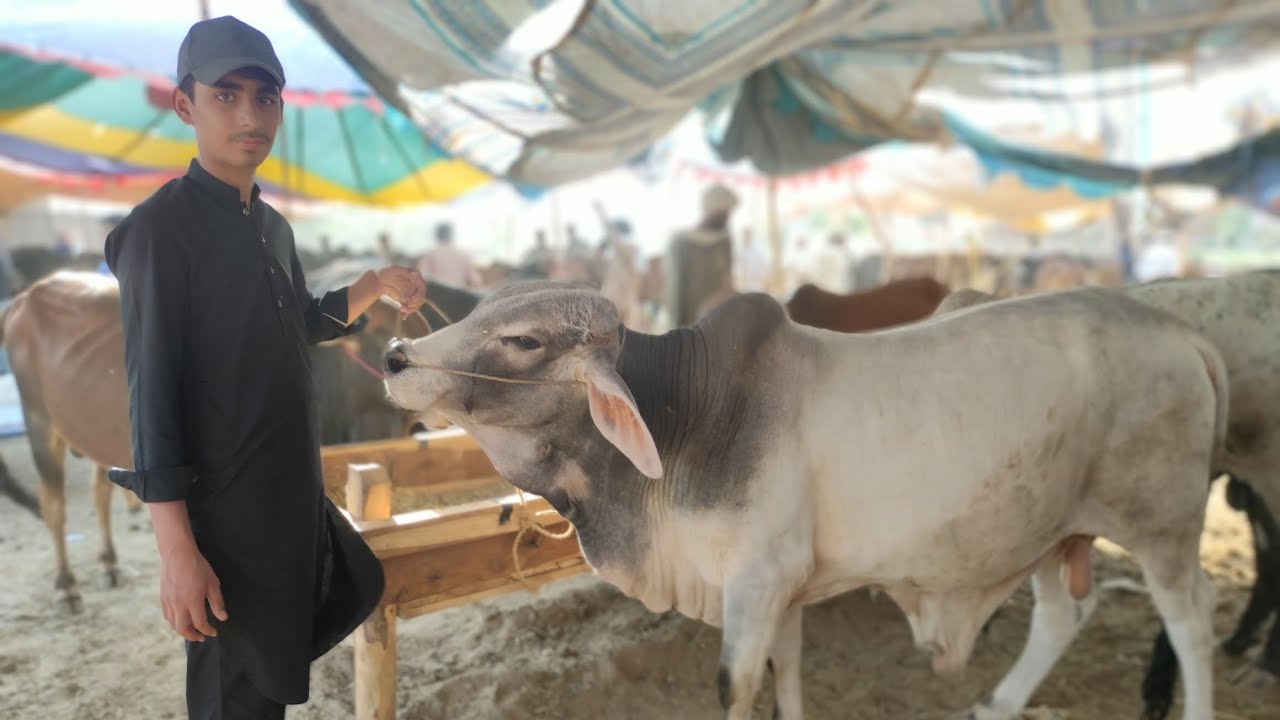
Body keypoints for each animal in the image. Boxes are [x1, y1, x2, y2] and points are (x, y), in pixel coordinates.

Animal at [0, 271, 417, 612]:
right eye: (378, 336)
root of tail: (25, 297)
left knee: (99, 492)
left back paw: (109, 564)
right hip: (40, 424)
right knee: (53, 504)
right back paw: (67, 586)